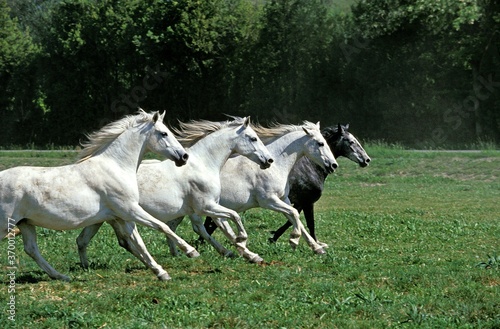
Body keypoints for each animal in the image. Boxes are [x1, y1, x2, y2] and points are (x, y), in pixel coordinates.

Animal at [0, 109, 193, 280]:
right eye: (164, 133)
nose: (184, 157)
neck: (116, 167)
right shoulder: (130, 210)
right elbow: (162, 226)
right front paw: (191, 251)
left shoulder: (122, 216)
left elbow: (138, 244)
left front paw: (161, 273)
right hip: (7, 224)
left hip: (25, 223)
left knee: (31, 249)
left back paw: (61, 276)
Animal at [76, 116, 276, 266]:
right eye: (253, 138)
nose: (269, 160)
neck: (203, 163)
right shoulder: (206, 206)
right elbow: (234, 217)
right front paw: (242, 241)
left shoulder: (211, 206)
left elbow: (226, 228)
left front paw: (248, 255)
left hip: (102, 218)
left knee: (83, 240)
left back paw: (86, 267)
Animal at [169, 120, 340, 262]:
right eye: (320, 143)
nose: (334, 165)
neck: (276, 164)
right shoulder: (269, 201)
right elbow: (295, 215)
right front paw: (294, 240)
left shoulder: (283, 199)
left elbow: (296, 219)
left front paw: (317, 248)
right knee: (200, 226)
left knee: (182, 226)